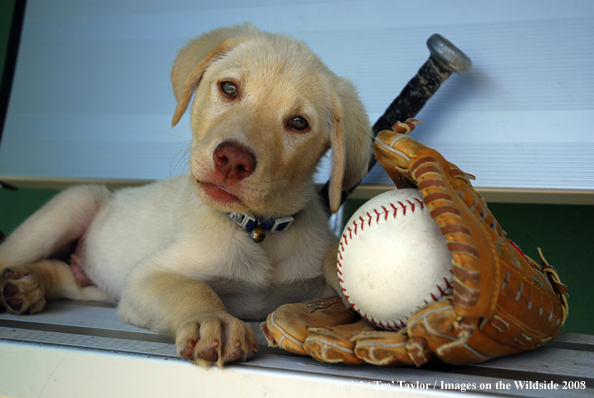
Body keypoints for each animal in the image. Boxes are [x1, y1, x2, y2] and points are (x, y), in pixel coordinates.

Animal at [0, 24, 370, 366]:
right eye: (229, 88)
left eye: (298, 123)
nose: (232, 160)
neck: (257, 230)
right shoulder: (146, 277)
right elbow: (192, 287)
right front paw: (214, 321)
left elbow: (331, 260)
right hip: (74, 204)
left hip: (93, 286)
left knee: (64, 275)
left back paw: (26, 285)